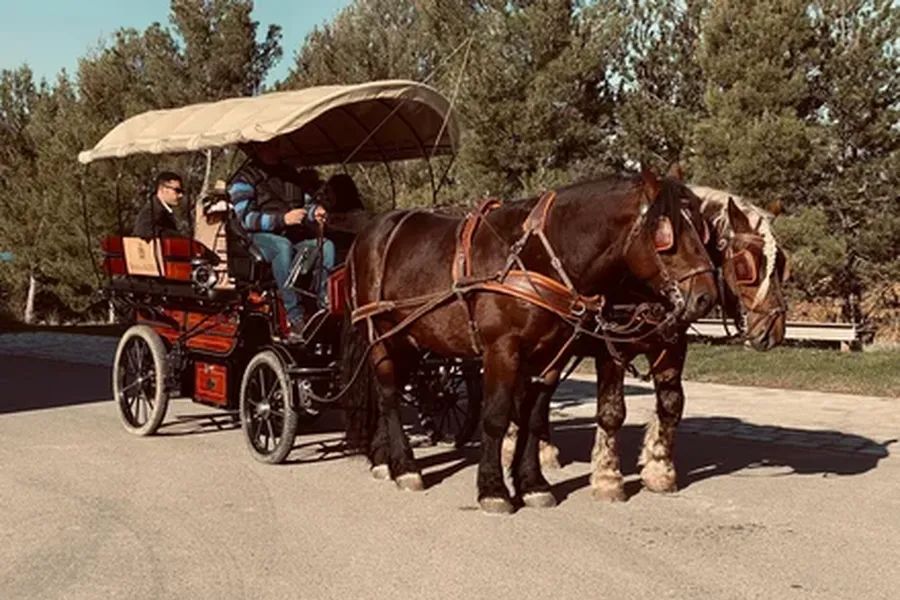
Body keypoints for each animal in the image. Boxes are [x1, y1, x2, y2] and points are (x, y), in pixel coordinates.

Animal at [340, 170, 716, 516]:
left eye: (702, 227)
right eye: (666, 234)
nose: (705, 298)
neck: (539, 257)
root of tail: (372, 229)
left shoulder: (550, 356)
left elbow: (533, 417)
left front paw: (532, 483)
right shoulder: (502, 350)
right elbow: (496, 416)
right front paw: (493, 488)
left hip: (410, 340)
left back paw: (383, 459)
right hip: (382, 335)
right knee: (389, 395)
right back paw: (405, 467)